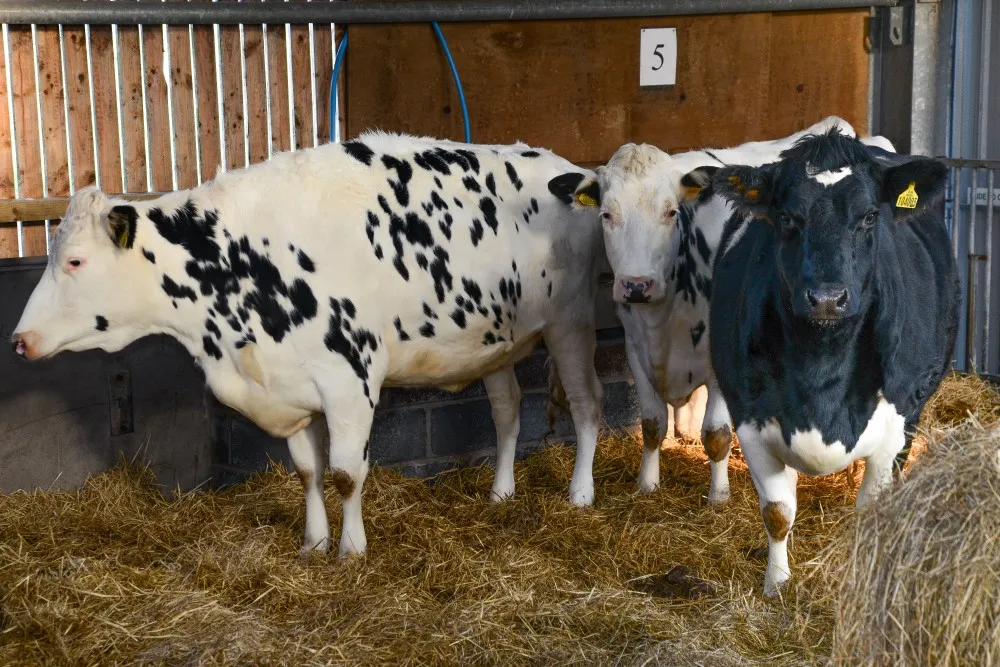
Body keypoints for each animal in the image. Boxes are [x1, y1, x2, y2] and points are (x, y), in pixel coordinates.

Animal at [10, 132, 608, 558]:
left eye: (75, 261)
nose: (19, 340)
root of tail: (561, 164)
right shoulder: (289, 384)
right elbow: (307, 471)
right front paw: (313, 542)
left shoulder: (350, 379)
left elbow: (346, 472)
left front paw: (351, 549)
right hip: (492, 341)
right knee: (507, 410)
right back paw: (501, 492)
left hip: (571, 321)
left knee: (586, 405)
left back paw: (580, 493)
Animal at [547, 116, 875, 504]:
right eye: (606, 214)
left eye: (671, 212)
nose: (637, 285)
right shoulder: (635, 347)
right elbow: (652, 424)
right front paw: (647, 484)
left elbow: (717, 433)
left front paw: (719, 497)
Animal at [709, 129, 959, 596]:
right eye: (787, 217)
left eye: (869, 217)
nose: (827, 298)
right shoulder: (750, 417)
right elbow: (777, 512)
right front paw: (776, 586)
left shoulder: (901, 418)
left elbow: (871, 513)